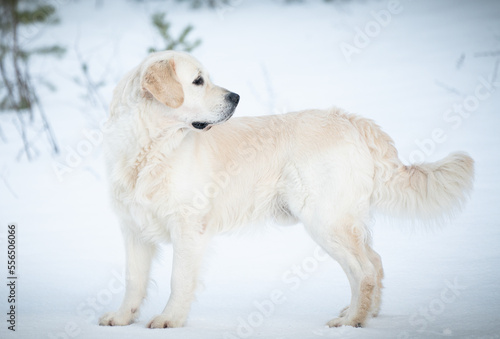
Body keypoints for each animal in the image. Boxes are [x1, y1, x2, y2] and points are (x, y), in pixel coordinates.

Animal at [97, 50, 472, 330]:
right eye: (198, 81)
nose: (236, 97)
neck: (150, 150)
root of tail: (350, 119)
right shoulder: (132, 229)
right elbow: (133, 280)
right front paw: (122, 317)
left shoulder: (188, 227)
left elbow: (179, 279)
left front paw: (169, 320)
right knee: (375, 262)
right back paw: (366, 315)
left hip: (325, 221)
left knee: (364, 270)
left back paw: (351, 321)